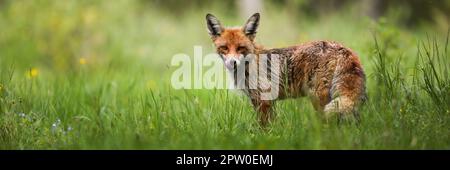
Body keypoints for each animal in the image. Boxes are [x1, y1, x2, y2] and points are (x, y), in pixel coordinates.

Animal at [207, 12, 366, 126]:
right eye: (224, 48)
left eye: (241, 48)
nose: (232, 62)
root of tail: (343, 48)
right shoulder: (267, 101)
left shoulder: (263, 100)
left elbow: (263, 127)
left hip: (319, 98)